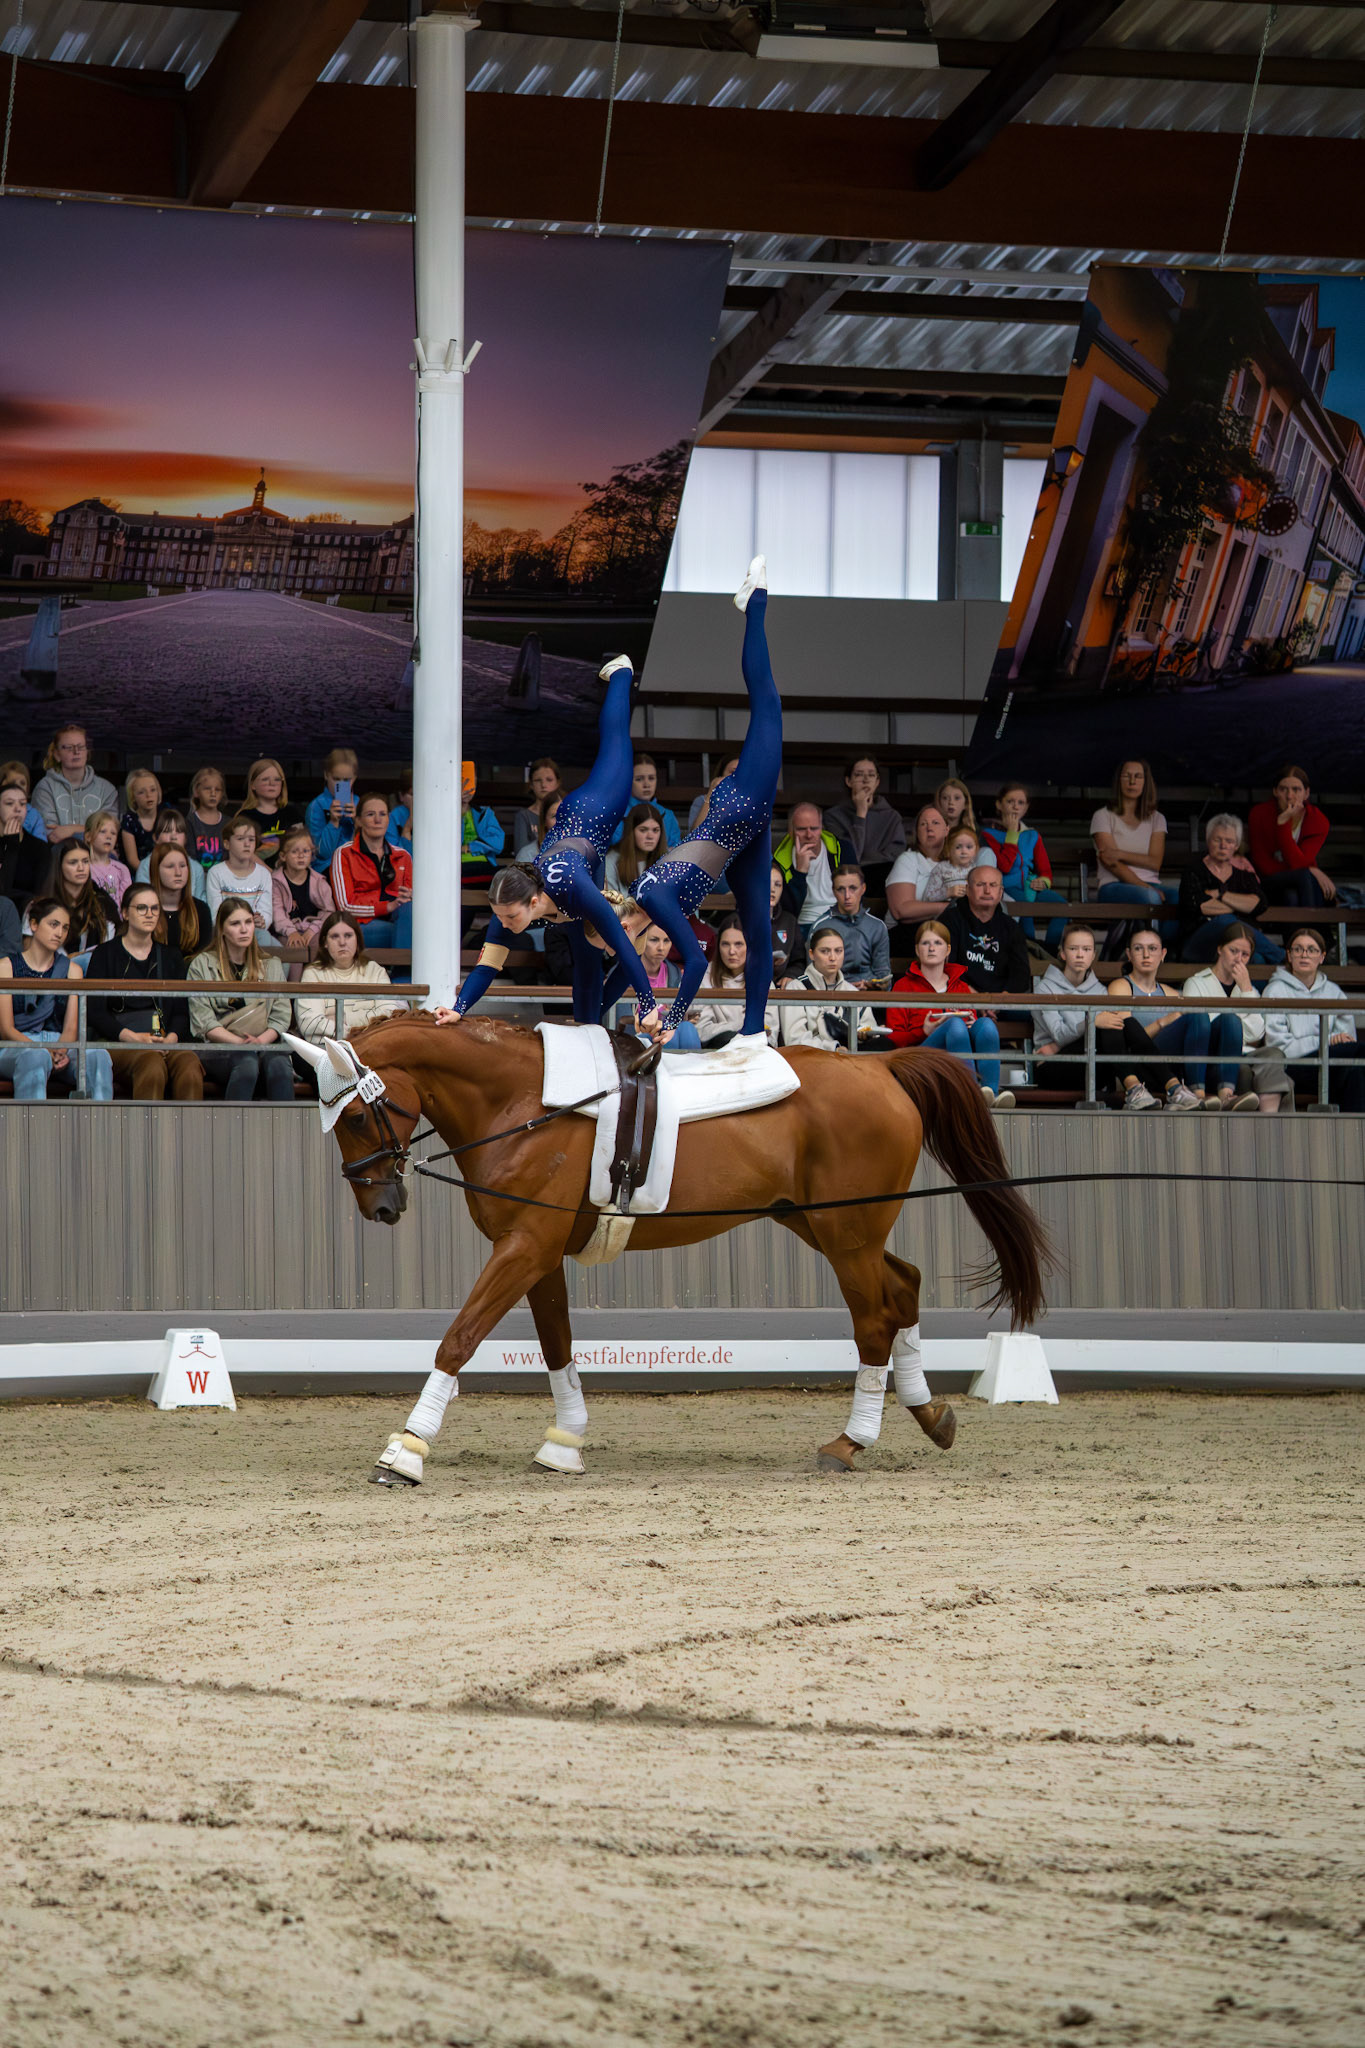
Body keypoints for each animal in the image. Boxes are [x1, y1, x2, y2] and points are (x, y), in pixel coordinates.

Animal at [294, 1014, 1050, 1481]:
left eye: (355, 1116)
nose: (381, 1208)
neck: (520, 1100)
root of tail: (882, 1068)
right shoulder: (539, 1250)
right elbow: (557, 1344)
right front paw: (564, 1443)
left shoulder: (524, 1246)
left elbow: (459, 1338)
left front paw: (406, 1450)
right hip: (819, 1223)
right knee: (903, 1285)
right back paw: (931, 1415)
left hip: (847, 1233)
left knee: (873, 1318)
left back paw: (849, 1443)